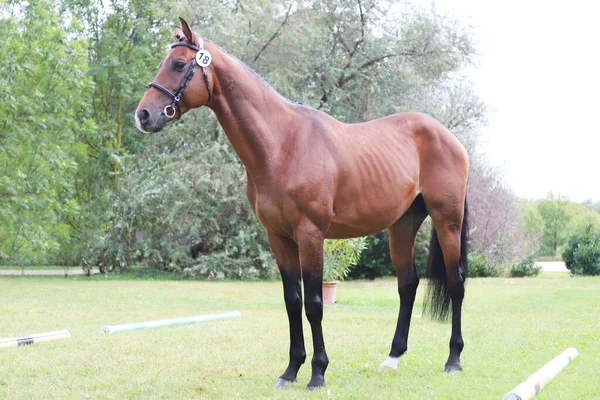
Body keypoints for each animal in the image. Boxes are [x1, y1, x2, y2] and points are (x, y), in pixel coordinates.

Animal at [136, 17, 468, 390]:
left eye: (179, 64)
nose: (143, 114)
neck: (283, 145)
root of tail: (448, 136)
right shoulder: (278, 238)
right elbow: (292, 302)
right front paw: (291, 370)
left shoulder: (311, 235)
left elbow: (314, 304)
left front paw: (318, 373)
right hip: (402, 225)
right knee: (407, 285)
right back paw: (392, 358)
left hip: (447, 221)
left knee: (456, 282)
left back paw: (454, 359)